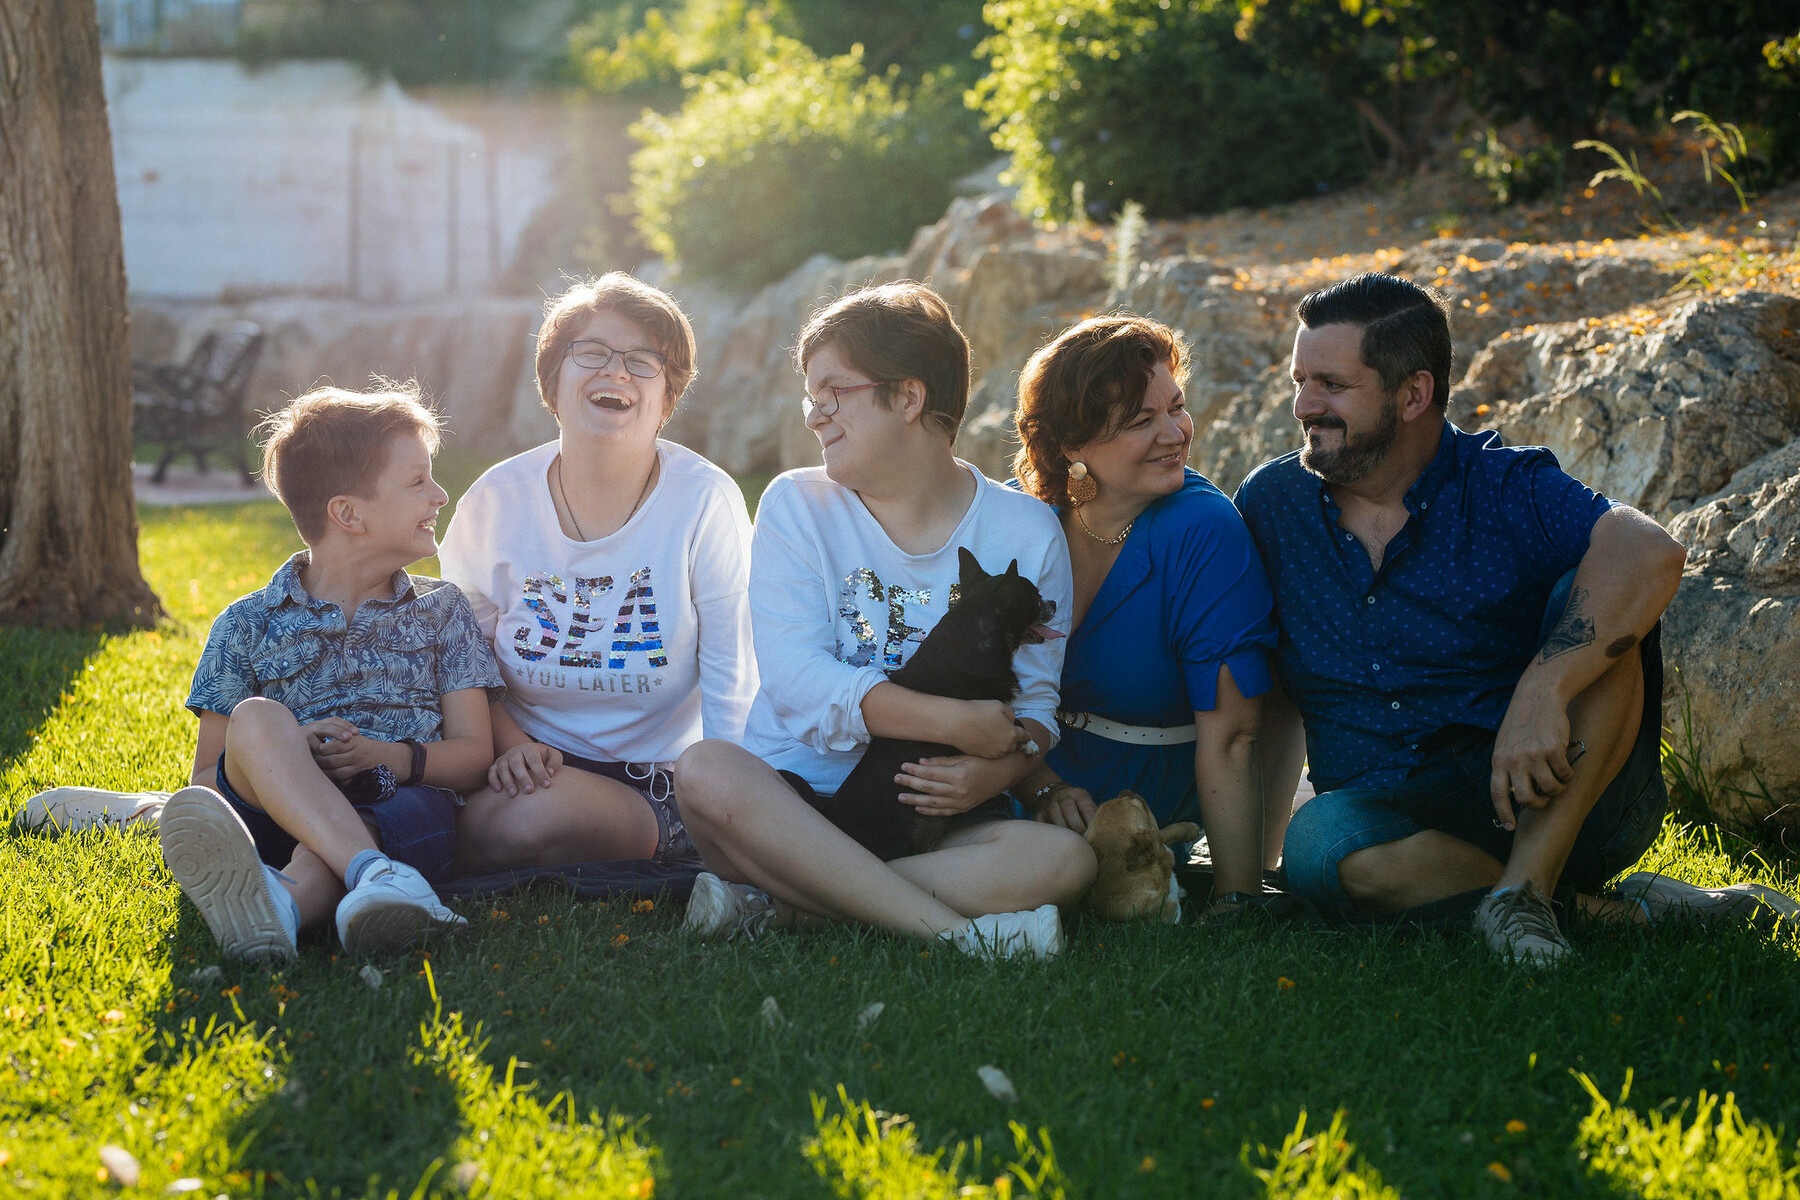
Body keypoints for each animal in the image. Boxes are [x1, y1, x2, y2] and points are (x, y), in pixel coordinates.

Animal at [824, 543, 1058, 863]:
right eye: (1035, 599)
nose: (1054, 602)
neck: (975, 640)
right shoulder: (986, 709)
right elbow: (1013, 718)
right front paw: (1028, 742)